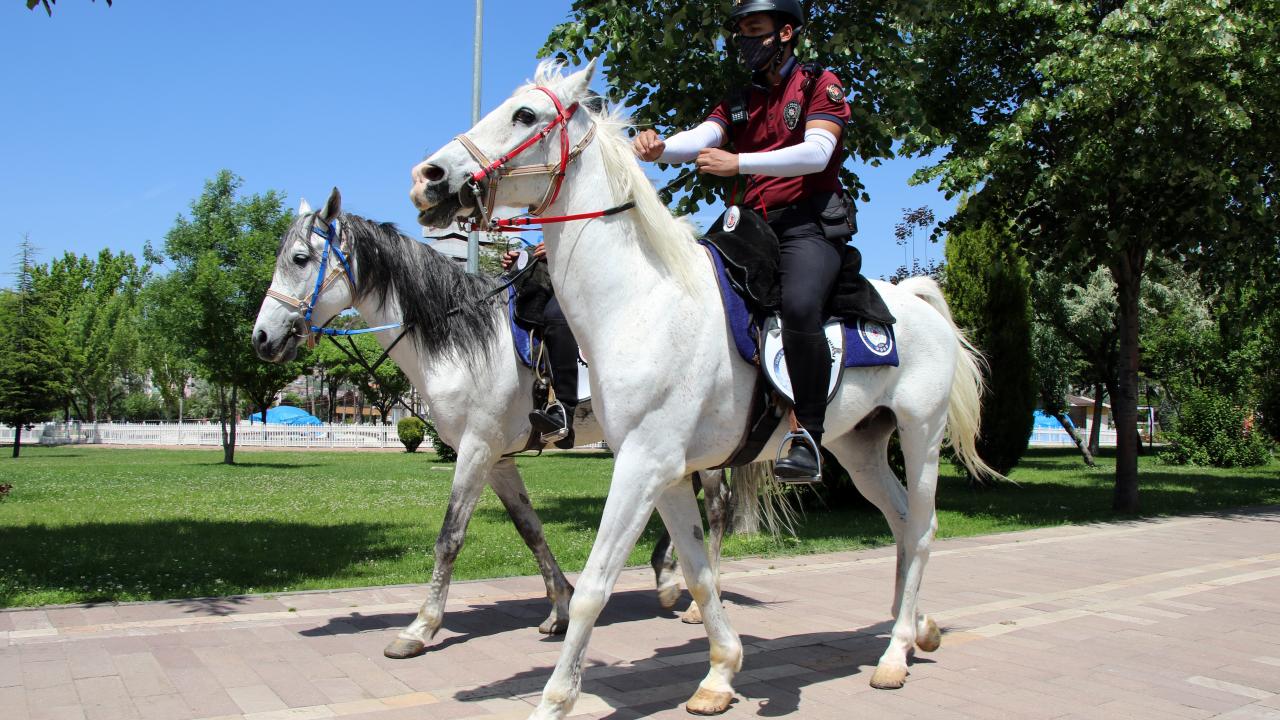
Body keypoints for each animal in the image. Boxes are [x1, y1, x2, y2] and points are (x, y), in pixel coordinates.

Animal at [250, 189, 728, 658]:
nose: (262, 338)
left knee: (717, 509)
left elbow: (449, 537)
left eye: (299, 258)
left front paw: (420, 628)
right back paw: (668, 578)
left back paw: (692, 598)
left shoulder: (476, 448)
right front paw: (561, 608)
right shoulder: (498, 458)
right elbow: (530, 528)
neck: (460, 337)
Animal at [408, 59, 993, 719]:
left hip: (922, 437)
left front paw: (555, 699)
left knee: (921, 528)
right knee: (899, 522)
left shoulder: (641, 464)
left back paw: (895, 654)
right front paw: (719, 674)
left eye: (525, 115)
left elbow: (595, 588)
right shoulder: (663, 472)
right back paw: (915, 627)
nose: (428, 179)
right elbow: (697, 572)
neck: (643, 302)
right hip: (860, 447)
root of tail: (917, 301)